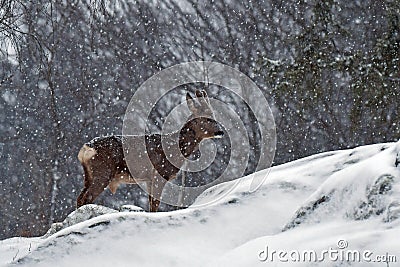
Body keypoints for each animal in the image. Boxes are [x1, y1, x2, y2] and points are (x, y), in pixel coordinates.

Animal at [76, 91, 223, 213]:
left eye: (214, 115)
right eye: (207, 118)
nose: (220, 131)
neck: (174, 149)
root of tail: (86, 148)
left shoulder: (149, 179)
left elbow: (151, 204)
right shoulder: (159, 173)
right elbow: (155, 205)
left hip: (89, 175)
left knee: (80, 197)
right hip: (103, 172)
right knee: (87, 197)